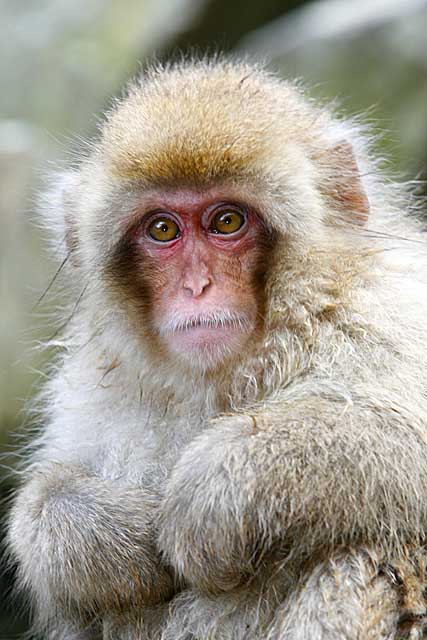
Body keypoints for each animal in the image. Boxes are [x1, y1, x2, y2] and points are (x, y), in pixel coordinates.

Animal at [5, 57, 427, 636]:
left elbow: (407, 436)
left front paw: (216, 491)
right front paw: (89, 530)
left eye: (228, 220)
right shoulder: (90, 387)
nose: (197, 287)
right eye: (163, 229)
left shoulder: (390, 308)